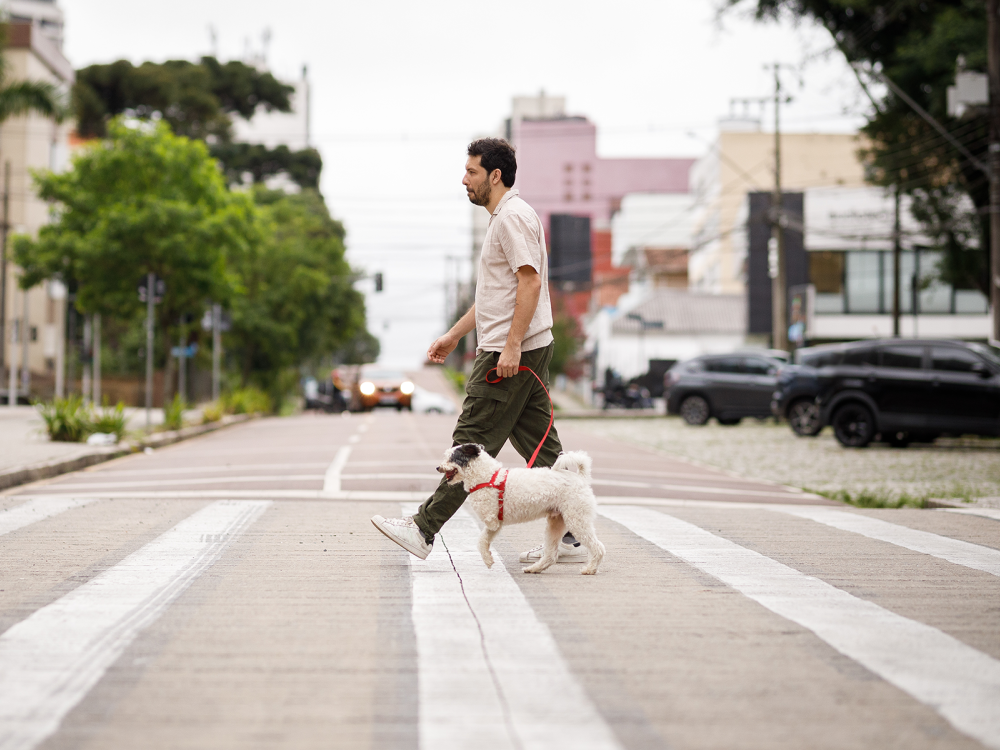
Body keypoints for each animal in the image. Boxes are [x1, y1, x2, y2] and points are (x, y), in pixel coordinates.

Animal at [436, 444, 604, 580]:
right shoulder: (496, 524)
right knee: (551, 556)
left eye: (451, 458)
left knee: (598, 548)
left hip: (577, 519)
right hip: (556, 523)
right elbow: (482, 541)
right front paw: (488, 560)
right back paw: (534, 569)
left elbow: (483, 537)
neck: (488, 477)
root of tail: (581, 478)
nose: (438, 468)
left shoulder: (492, 519)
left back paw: (590, 569)